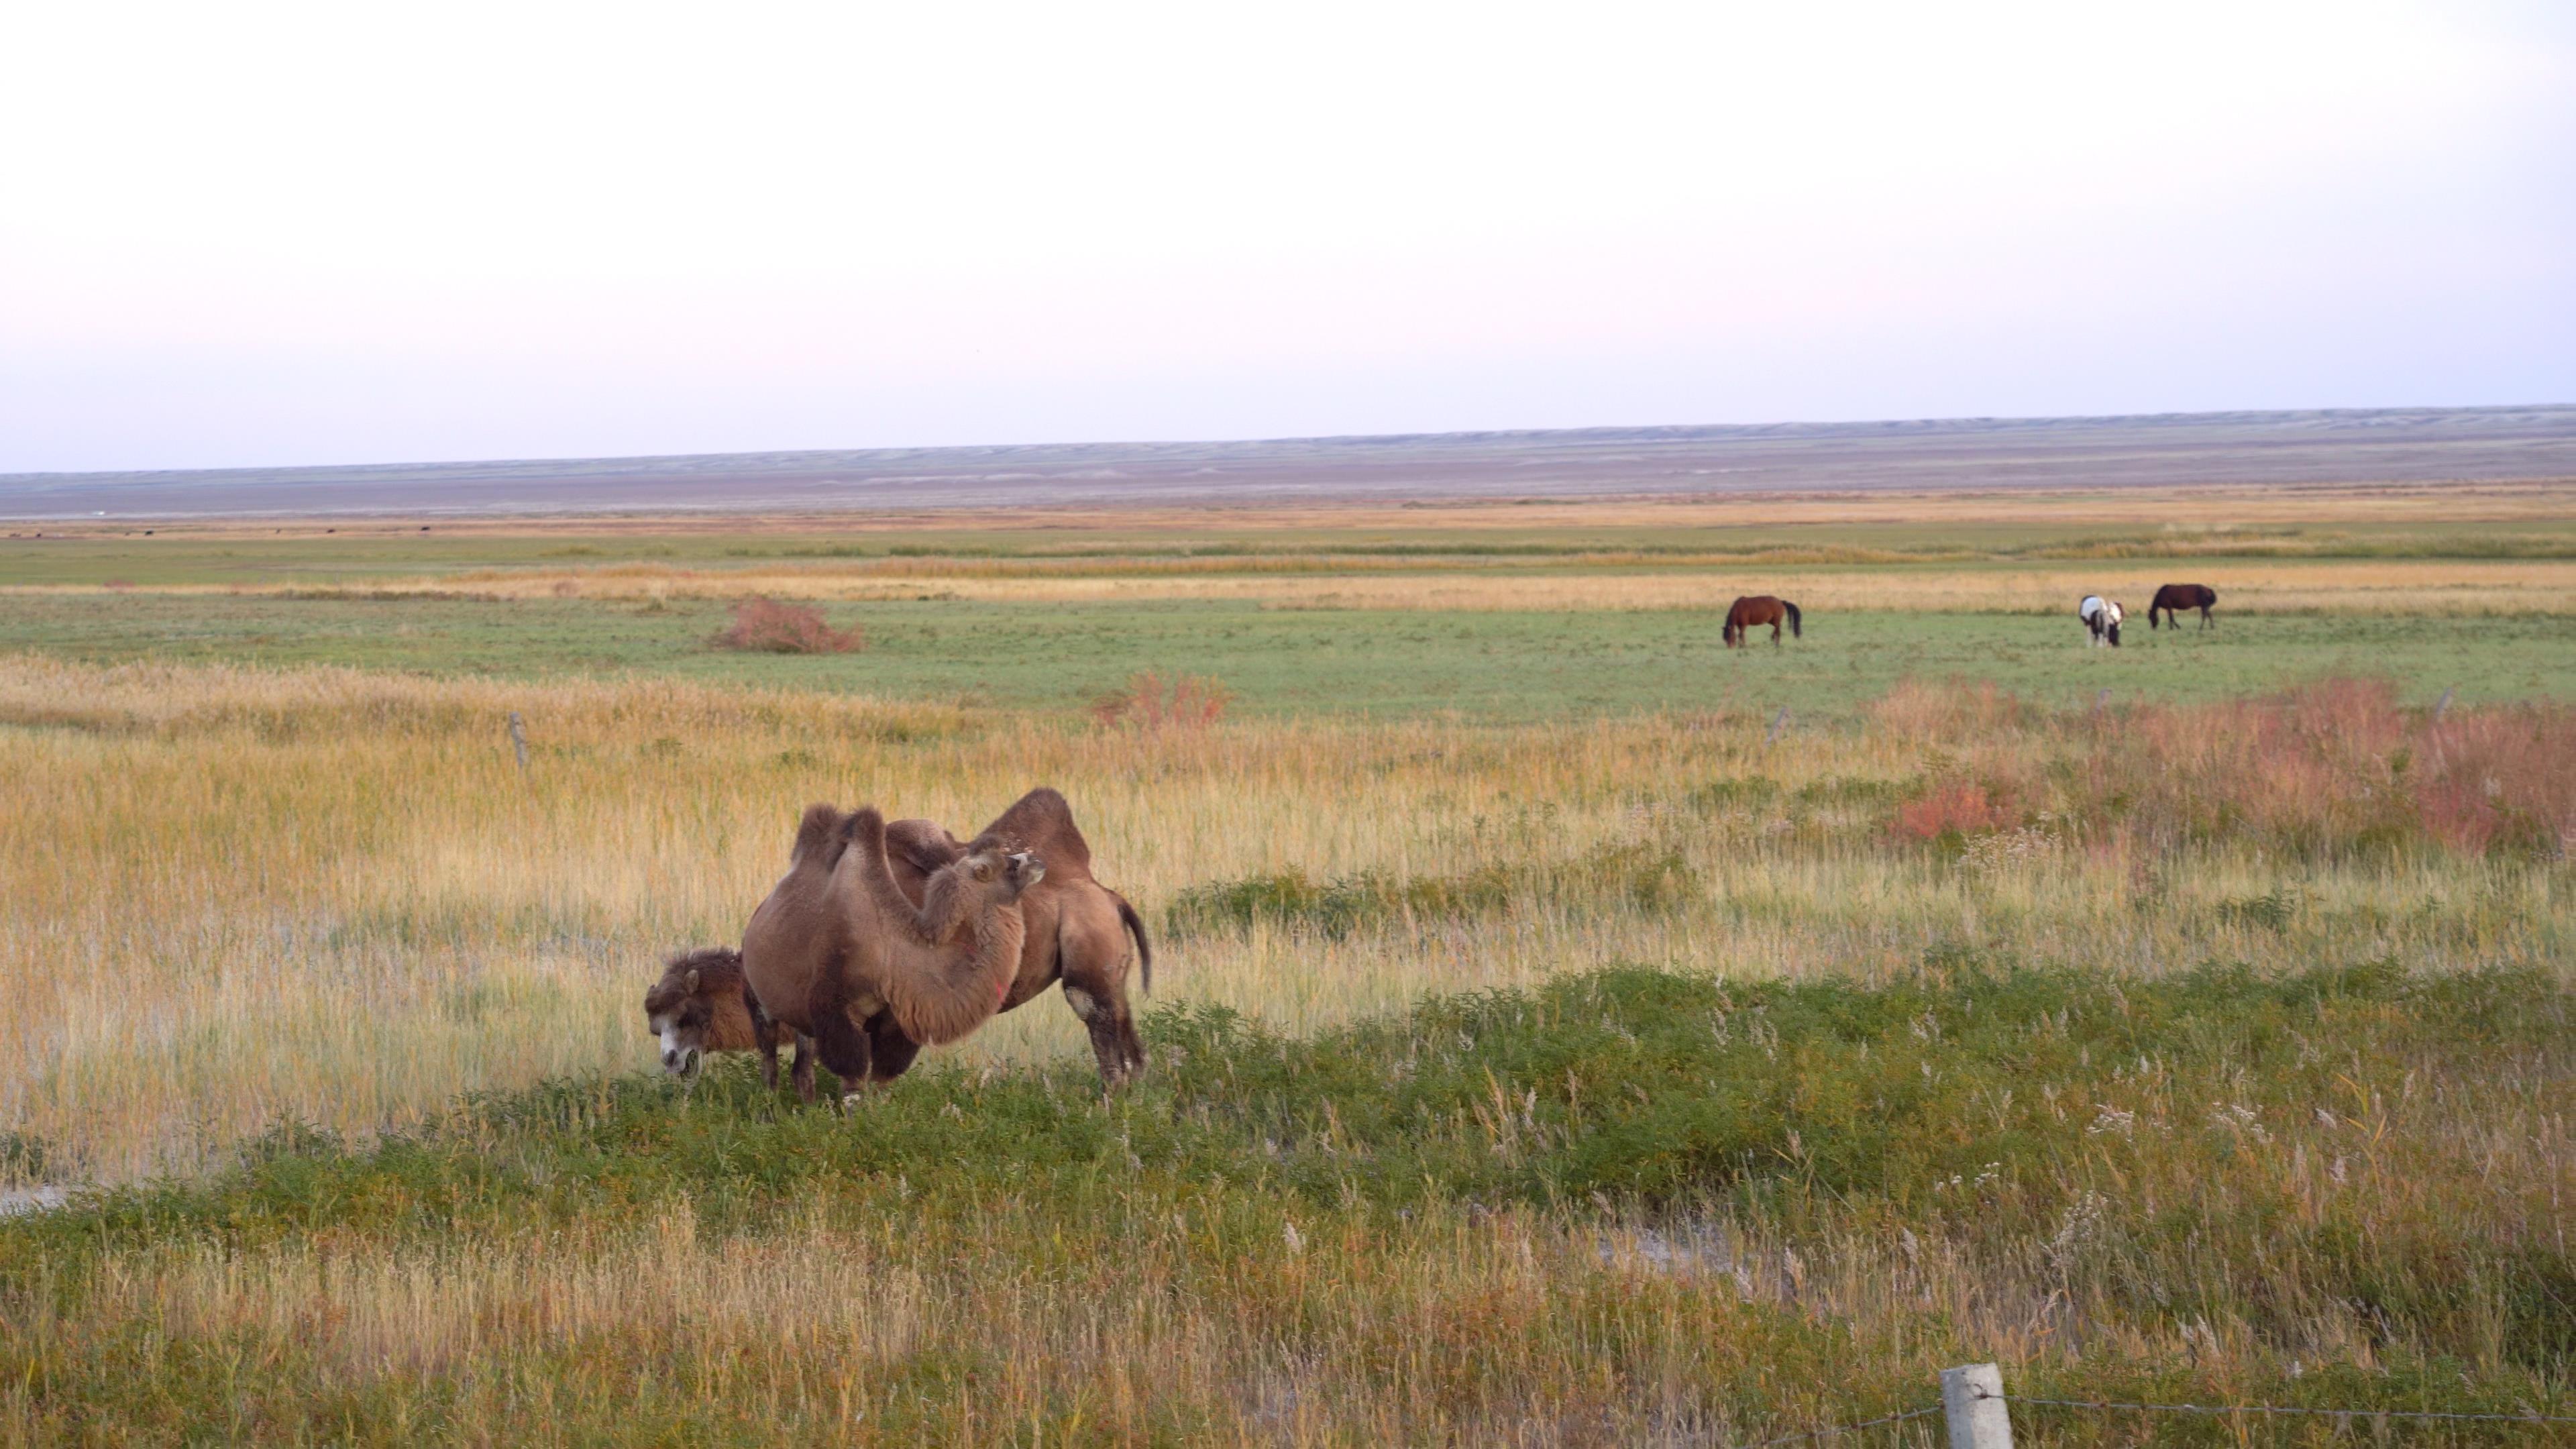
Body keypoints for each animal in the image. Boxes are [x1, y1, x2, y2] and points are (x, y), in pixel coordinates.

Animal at [741, 799, 1040, 1093]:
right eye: (1007, 864)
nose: (1036, 860)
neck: (888, 950)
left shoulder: (897, 1019)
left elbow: (882, 1080)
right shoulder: (837, 1009)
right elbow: (854, 1080)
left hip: (802, 1016)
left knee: (802, 1069)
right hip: (758, 999)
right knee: (769, 1062)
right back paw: (770, 1105)